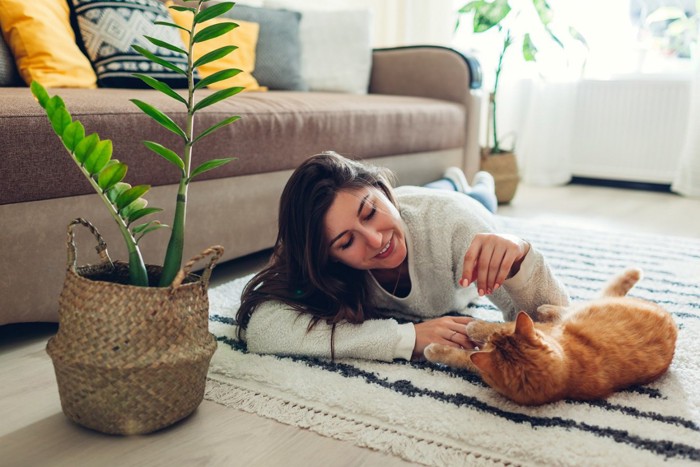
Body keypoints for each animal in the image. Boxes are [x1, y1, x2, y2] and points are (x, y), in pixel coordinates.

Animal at [424, 268, 676, 408]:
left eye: (491, 341)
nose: (486, 340)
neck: (570, 372)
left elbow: (465, 355)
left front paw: (468, 331)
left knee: (572, 307)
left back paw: (545, 308)